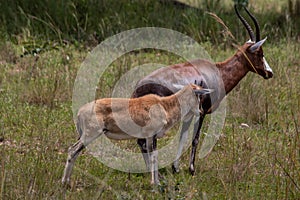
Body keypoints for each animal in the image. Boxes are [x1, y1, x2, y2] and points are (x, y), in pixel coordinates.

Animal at [61, 83, 211, 185]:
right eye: (199, 96)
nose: (201, 112)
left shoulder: (149, 138)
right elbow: (153, 157)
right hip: (90, 135)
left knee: (74, 151)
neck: (163, 105)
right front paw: (155, 184)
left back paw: (67, 181)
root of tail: (80, 111)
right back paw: (64, 182)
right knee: (72, 150)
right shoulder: (151, 136)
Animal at [132, 5, 274, 175]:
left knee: (142, 141)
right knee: (145, 142)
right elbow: (195, 138)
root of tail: (138, 87)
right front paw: (191, 169)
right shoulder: (202, 111)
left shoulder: (188, 114)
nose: (269, 73)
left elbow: (183, 137)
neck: (217, 71)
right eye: (260, 53)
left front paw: (176, 168)